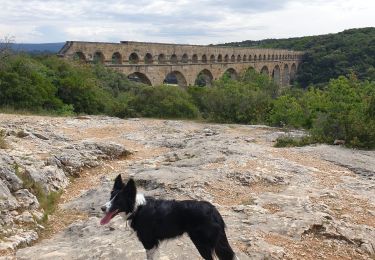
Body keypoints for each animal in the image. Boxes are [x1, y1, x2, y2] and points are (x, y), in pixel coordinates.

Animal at [100, 175, 235, 260]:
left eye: (118, 201)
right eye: (110, 197)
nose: (102, 208)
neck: (137, 209)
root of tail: (213, 210)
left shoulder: (149, 243)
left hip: (202, 243)